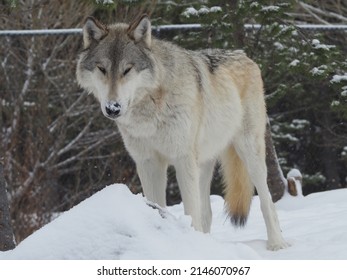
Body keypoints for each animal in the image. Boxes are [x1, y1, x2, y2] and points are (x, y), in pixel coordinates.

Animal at [77, 14, 290, 250]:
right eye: (102, 69)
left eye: (127, 70)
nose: (113, 108)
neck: (151, 108)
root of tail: (244, 55)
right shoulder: (148, 162)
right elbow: (157, 205)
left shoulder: (182, 159)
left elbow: (191, 211)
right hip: (204, 164)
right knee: (207, 212)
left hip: (249, 154)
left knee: (267, 201)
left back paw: (277, 243)